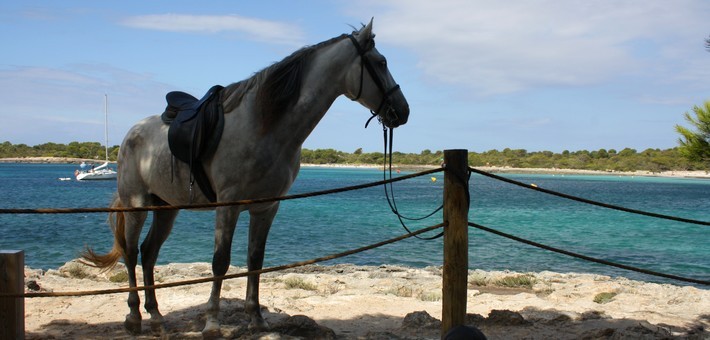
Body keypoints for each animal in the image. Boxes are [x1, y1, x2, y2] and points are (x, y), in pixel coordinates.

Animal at [82, 19, 412, 336]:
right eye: (381, 62)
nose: (403, 110)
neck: (265, 127)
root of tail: (132, 133)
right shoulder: (228, 206)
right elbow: (220, 262)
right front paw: (212, 323)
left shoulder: (266, 207)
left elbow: (256, 260)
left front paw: (256, 319)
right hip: (136, 205)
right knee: (130, 253)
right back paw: (135, 316)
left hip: (166, 208)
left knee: (149, 253)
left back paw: (156, 317)